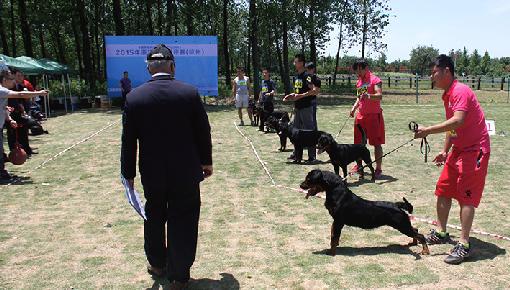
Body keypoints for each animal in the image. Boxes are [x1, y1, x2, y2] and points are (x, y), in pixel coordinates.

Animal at [298, 170, 430, 256]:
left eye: (309, 179)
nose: (300, 185)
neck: (336, 191)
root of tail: (397, 205)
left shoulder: (339, 221)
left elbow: (334, 237)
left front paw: (331, 252)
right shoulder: (336, 221)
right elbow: (333, 235)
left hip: (401, 225)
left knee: (420, 235)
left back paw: (425, 251)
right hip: (403, 224)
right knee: (416, 230)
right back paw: (413, 243)